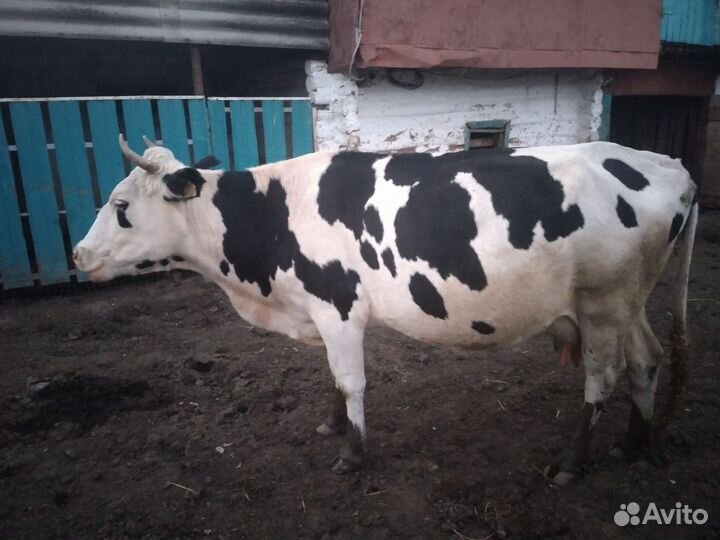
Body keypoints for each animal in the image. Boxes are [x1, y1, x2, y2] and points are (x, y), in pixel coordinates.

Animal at [73, 135, 698, 483]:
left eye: (121, 206)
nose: (78, 254)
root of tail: (665, 162)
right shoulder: (321, 312)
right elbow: (333, 378)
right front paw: (331, 425)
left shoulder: (338, 307)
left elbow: (350, 380)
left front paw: (352, 454)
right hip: (628, 300)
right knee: (646, 361)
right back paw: (634, 443)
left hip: (604, 303)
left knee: (603, 377)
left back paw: (573, 460)